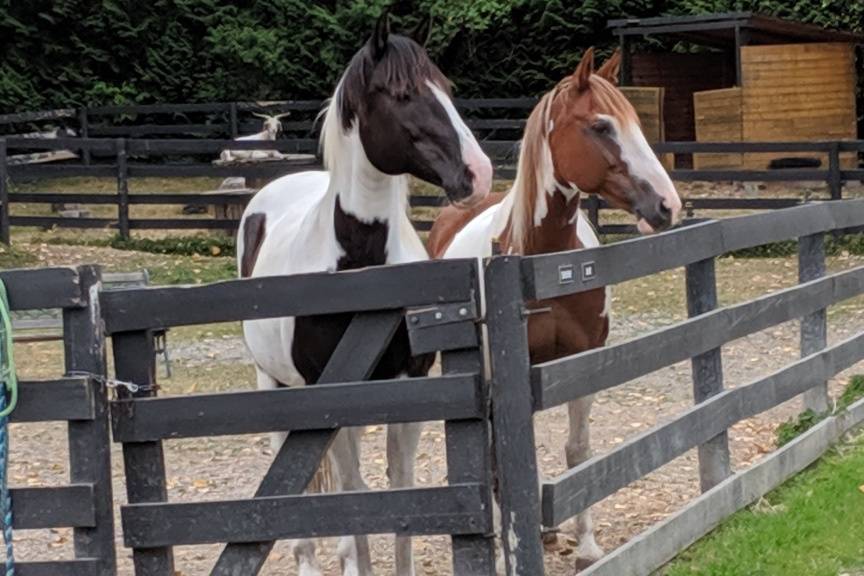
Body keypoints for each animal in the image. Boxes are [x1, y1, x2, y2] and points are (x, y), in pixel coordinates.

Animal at [236, 12, 492, 576]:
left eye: (447, 88)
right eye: (400, 94)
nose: (478, 173)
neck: (359, 266)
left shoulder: (411, 385)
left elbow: (400, 487)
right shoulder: (330, 397)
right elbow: (354, 494)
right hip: (274, 384)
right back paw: (311, 559)